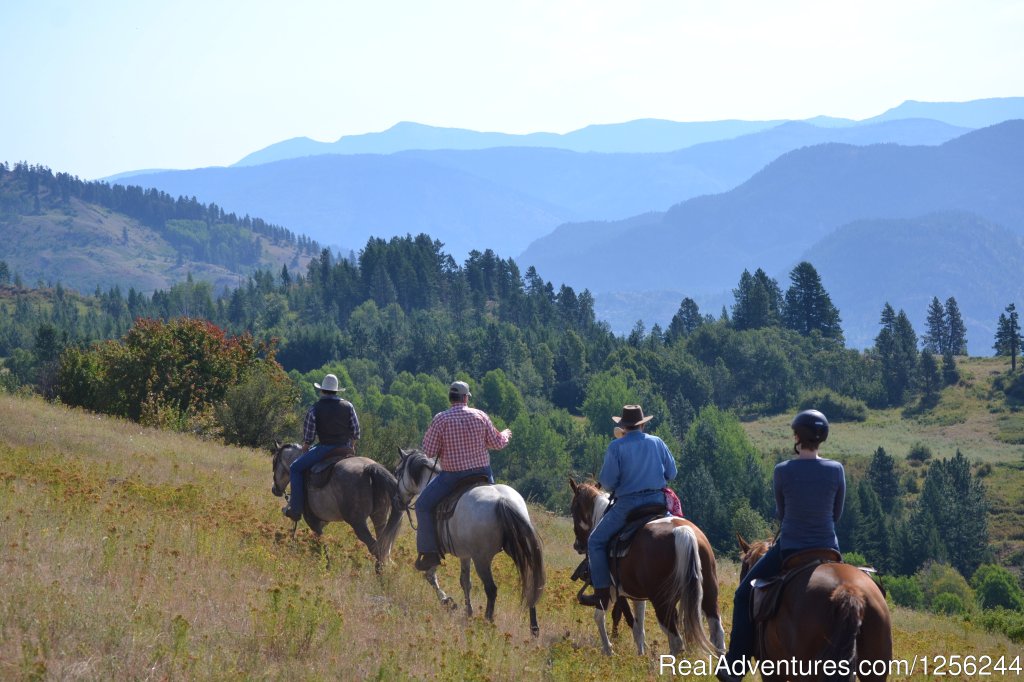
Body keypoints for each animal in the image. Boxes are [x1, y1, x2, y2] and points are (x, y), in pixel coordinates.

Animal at [272, 440, 403, 569]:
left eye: (274, 462)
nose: (275, 490)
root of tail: (369, 468)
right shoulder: (323, 520)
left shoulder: (312, 520)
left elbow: (322, 543)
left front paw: (326, 566)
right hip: (380, 517)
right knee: (383, 546)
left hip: (358, 523)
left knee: (375, 548)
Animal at [395, 446, 548, 630]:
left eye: (397, 471)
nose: (397, 499)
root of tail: (502, 500)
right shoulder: (464, 555)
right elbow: (465, 582)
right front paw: (468, 612)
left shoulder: (436, 550)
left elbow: (430, 575)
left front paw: (447, 601)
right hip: (515, 549)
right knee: (531, 583)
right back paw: (534, 628)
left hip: (481, 559)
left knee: (491, 589)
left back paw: (488, 621)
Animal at [565, 477, 724, 655]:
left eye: (573, 508)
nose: (578, 545)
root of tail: (683, 532)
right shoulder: (637, 596)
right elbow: (638, 628)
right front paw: (641, 654)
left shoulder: (611, 591)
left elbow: (602, 617)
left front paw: (609, 650)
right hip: (708, 595)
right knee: (716, 633)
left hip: (662, 601)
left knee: (676, 640)